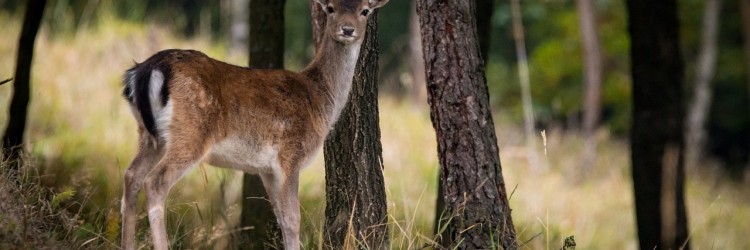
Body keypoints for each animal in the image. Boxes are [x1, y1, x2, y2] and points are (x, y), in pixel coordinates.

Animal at [119, 0, 390, 250]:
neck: (321, 101)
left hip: (150, 136)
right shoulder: (290, 156)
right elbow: (293, 219)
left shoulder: (266, 169)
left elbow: (281, 218)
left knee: (131, 176)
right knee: (155, 183)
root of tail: (146, 70)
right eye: (331, 8)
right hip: (190, 134)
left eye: (365, 10)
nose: (347, 29)